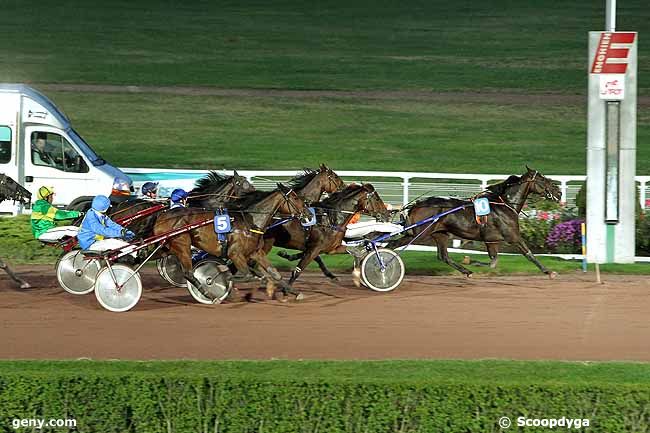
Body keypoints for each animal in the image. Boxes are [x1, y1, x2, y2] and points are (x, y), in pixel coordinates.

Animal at [153, 183, 312, 300]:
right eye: (295, 198)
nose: (309, 214)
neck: (251, 222)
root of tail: (163, 216)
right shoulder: (235, 254)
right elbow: (246, 275)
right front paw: (222, 275)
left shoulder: (255, 252)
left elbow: (274, 273)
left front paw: (293, 292)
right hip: (182, 244)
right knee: (188, 273)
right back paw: (209, 294)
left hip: (167, 247)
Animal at [388, 167, 560, 278]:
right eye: (542, 179)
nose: (558, 192)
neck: (505, 204)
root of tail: (417, 205)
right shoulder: (513, 236)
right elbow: (529, 254)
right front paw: (549, 271)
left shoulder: (491, 240)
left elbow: (493, 262)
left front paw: (470, 261)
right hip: (419, 234)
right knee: (392, 245)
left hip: (440, 234)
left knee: (444, 256)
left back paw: (466, 271)